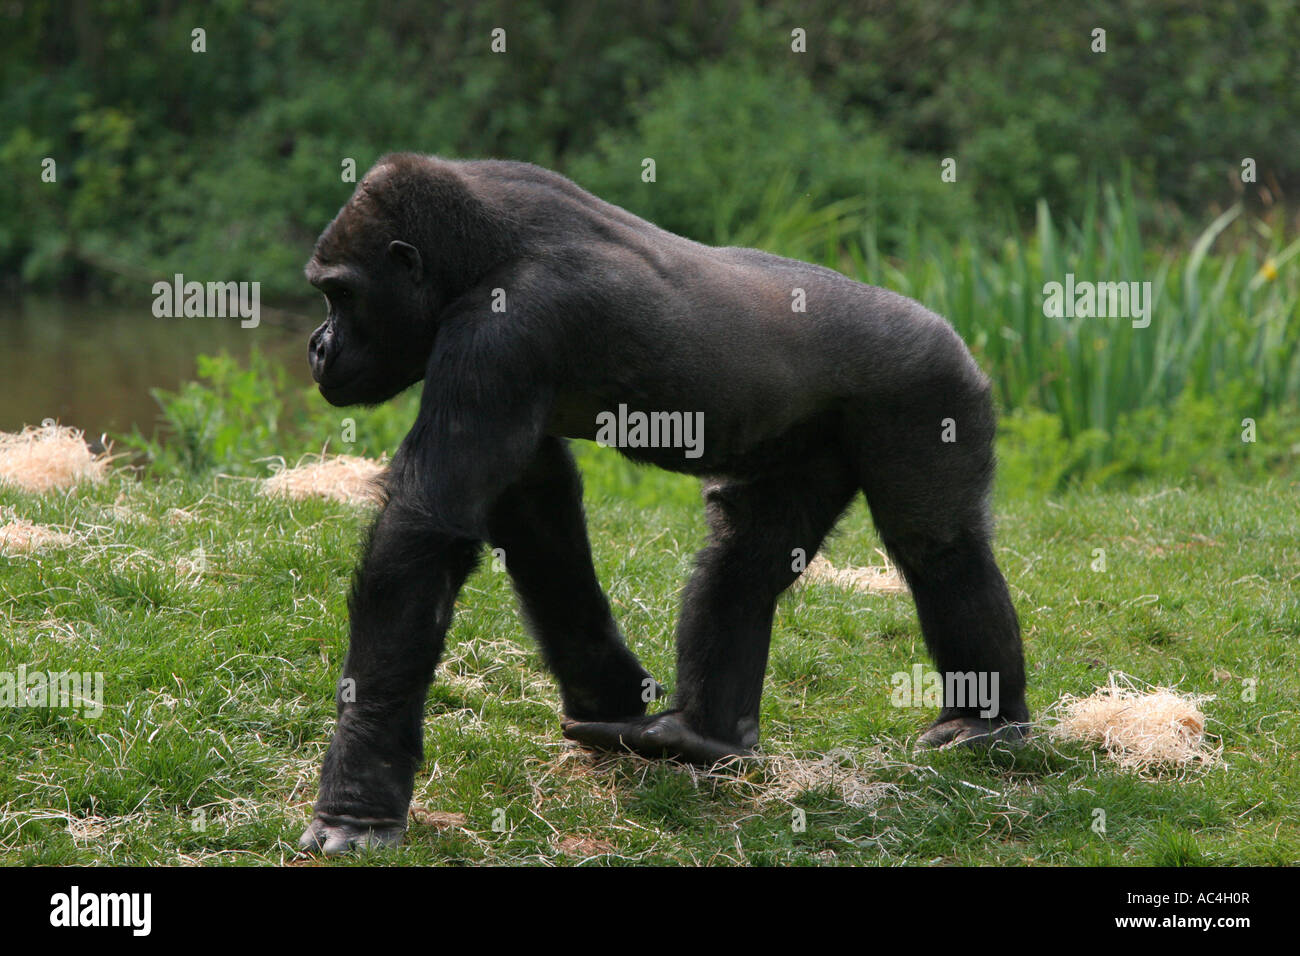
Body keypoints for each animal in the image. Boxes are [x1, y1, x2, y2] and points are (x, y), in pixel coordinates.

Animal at [295, 153, 1024, 858]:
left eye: (341, 294)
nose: (317, 346)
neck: (476, 259)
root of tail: (952, 330)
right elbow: (534, 510)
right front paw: (609, 691)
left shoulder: (500, 334)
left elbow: (424, 533)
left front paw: (357, 798)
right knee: (748, 557)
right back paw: (705, 734)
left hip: (932, 389)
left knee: (938, 545)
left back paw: (985, 720)